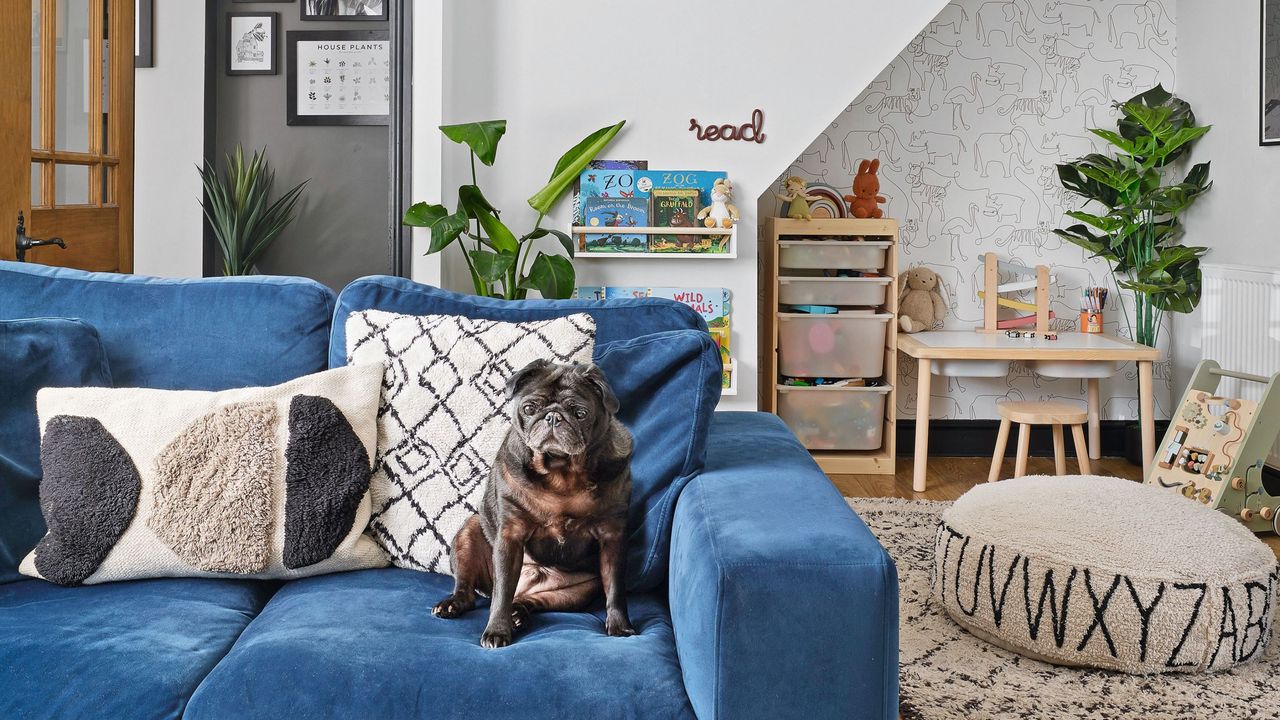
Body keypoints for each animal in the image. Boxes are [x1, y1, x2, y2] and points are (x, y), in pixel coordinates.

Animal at [430, 358, 634, 645]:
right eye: (529, 408)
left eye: (580, 413)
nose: (553, 416)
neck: (561, 475)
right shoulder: (511, 535)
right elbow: (502, 593)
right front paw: (497, 630)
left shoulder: (612, 537)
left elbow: (615, 589)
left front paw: (620, 626)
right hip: (468, 534)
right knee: (471, 591)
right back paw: (455, 604)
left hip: (575, 592)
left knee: (532, 601)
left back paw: (519, 613)